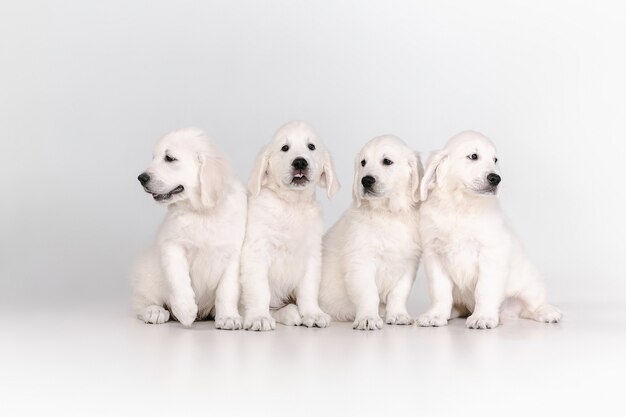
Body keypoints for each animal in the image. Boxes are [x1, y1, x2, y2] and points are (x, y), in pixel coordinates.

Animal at [130, 128, 245, 330]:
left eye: (169, 158)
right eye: (154, 157)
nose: (141, 178)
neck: (202, 213)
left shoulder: (234, 254)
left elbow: (227, 290)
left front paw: (228, 317)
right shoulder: (172, 245)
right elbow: (178, 279)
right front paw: (185, 311)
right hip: (147, 272)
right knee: (142, 301)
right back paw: (154, 311)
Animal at [240, 121, 338, 332]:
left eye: (311, 147)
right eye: (285, 148)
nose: (300, 162)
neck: (292, 204)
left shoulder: (311, 256)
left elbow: (308, 289)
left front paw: (312, 314)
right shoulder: (256, 253)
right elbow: (260, 289)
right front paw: (259, 317)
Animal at [320, 135, 422, 330]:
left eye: (387, 161)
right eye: (363, 163)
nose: (366, 180)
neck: (387, 214)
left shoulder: (408, 263)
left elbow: (399, 293)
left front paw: (398, 315)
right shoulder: (361, 261)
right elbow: (368, 293)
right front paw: (368, 318)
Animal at [414, 130, 560, 328]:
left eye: (495, 159)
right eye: (473, 156)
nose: (496, 178)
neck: (461, 207)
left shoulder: (491, 253)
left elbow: (484, 289)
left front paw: (482, 317)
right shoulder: (434, 255)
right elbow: (439, 291)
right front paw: (436, 315)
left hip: (529, 282)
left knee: (533, 304)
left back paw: (547, 312)